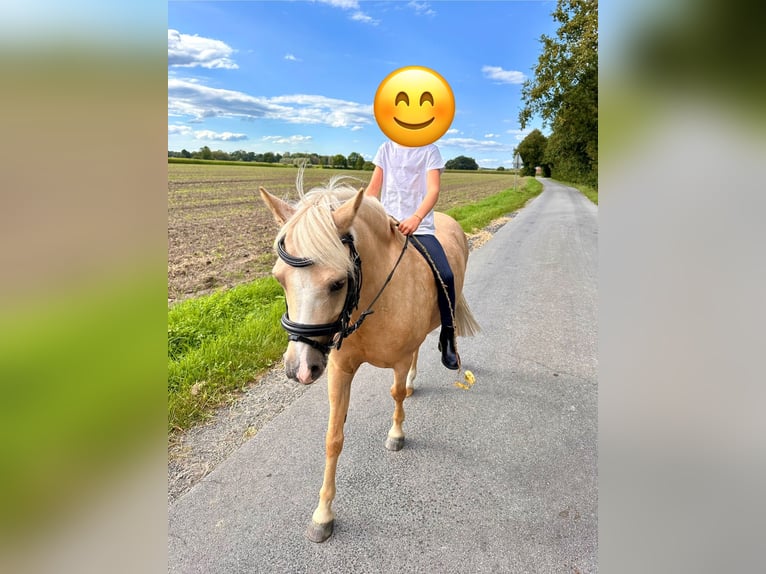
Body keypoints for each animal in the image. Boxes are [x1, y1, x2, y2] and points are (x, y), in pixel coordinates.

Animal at [259, 175, 479, 543]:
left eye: (337, 283)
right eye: (279, 278)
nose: (300, 369)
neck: (371, 301)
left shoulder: (399, 359)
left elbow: (396, 395)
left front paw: (396, 435)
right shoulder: (339, 368)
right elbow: (333, 438)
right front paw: (322, 515)